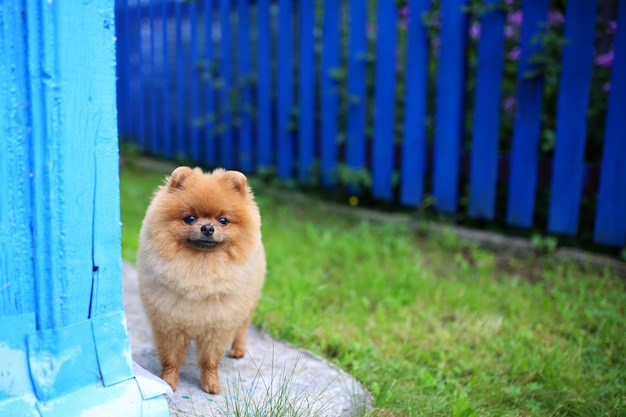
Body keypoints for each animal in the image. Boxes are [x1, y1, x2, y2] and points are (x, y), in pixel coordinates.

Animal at [136, 167, 264, 394]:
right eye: (190, 218)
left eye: (223, 220)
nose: (207, 228)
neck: (200, 269)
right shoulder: (170, 325)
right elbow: (171, 359)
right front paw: (168, 381)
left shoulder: (218, 326)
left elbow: (210, 360)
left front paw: (211, 383)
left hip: (248, 304)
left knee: (242, 328)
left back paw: (238, 349)